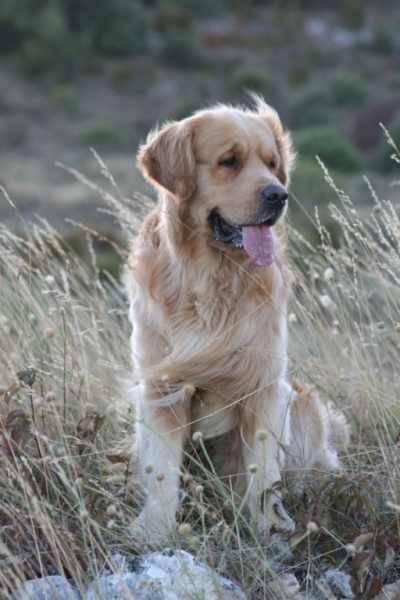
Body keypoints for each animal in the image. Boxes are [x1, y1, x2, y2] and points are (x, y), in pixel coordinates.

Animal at [125, 96, 350, 540]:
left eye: (272, 163)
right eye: (229, 161)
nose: (279, 195)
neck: (211, 280)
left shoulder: (263, 385)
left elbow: (263, 472)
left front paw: (271, 527)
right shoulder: (160, 387)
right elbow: (161, 469)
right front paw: (155, 530)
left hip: (298, 404)